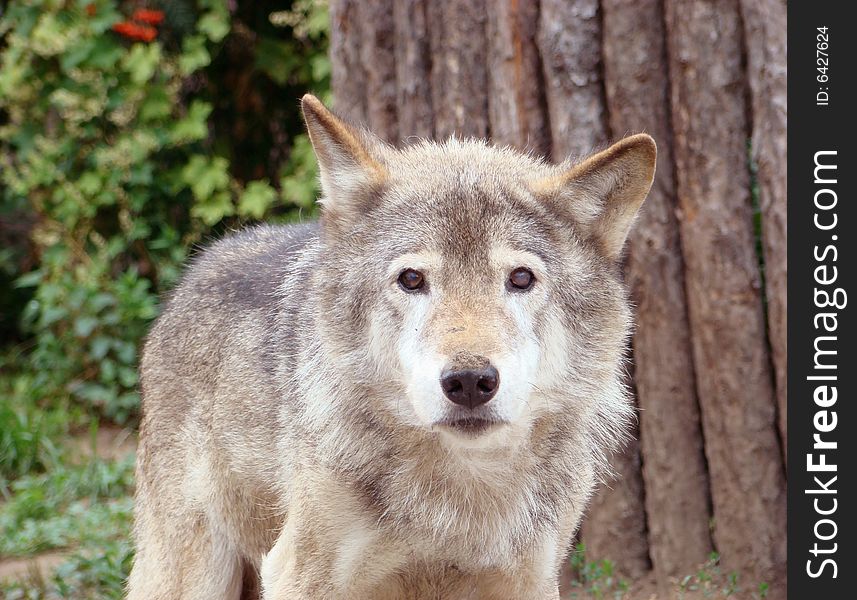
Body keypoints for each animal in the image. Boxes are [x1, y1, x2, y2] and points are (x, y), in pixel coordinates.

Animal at [125, 95, 656, 600]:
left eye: (521, 278)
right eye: (412, 279)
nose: (469, 382)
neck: (461, 495)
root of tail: (197, 269)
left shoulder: (532, 581)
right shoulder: (300, 576)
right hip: (195, 572)